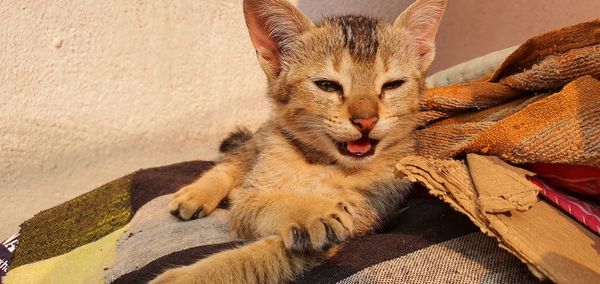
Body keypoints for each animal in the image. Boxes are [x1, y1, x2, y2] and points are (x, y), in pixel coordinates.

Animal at [151, 0, 446, 282]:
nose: (366, 120)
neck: (324, 163)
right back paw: (195, 194)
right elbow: (264, 203)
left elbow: (257, 259)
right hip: (262, 138)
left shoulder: (364, 211)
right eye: (327, 85)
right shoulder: (250, 199)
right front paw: (312, 211)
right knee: (232, 162)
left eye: (393, 85)